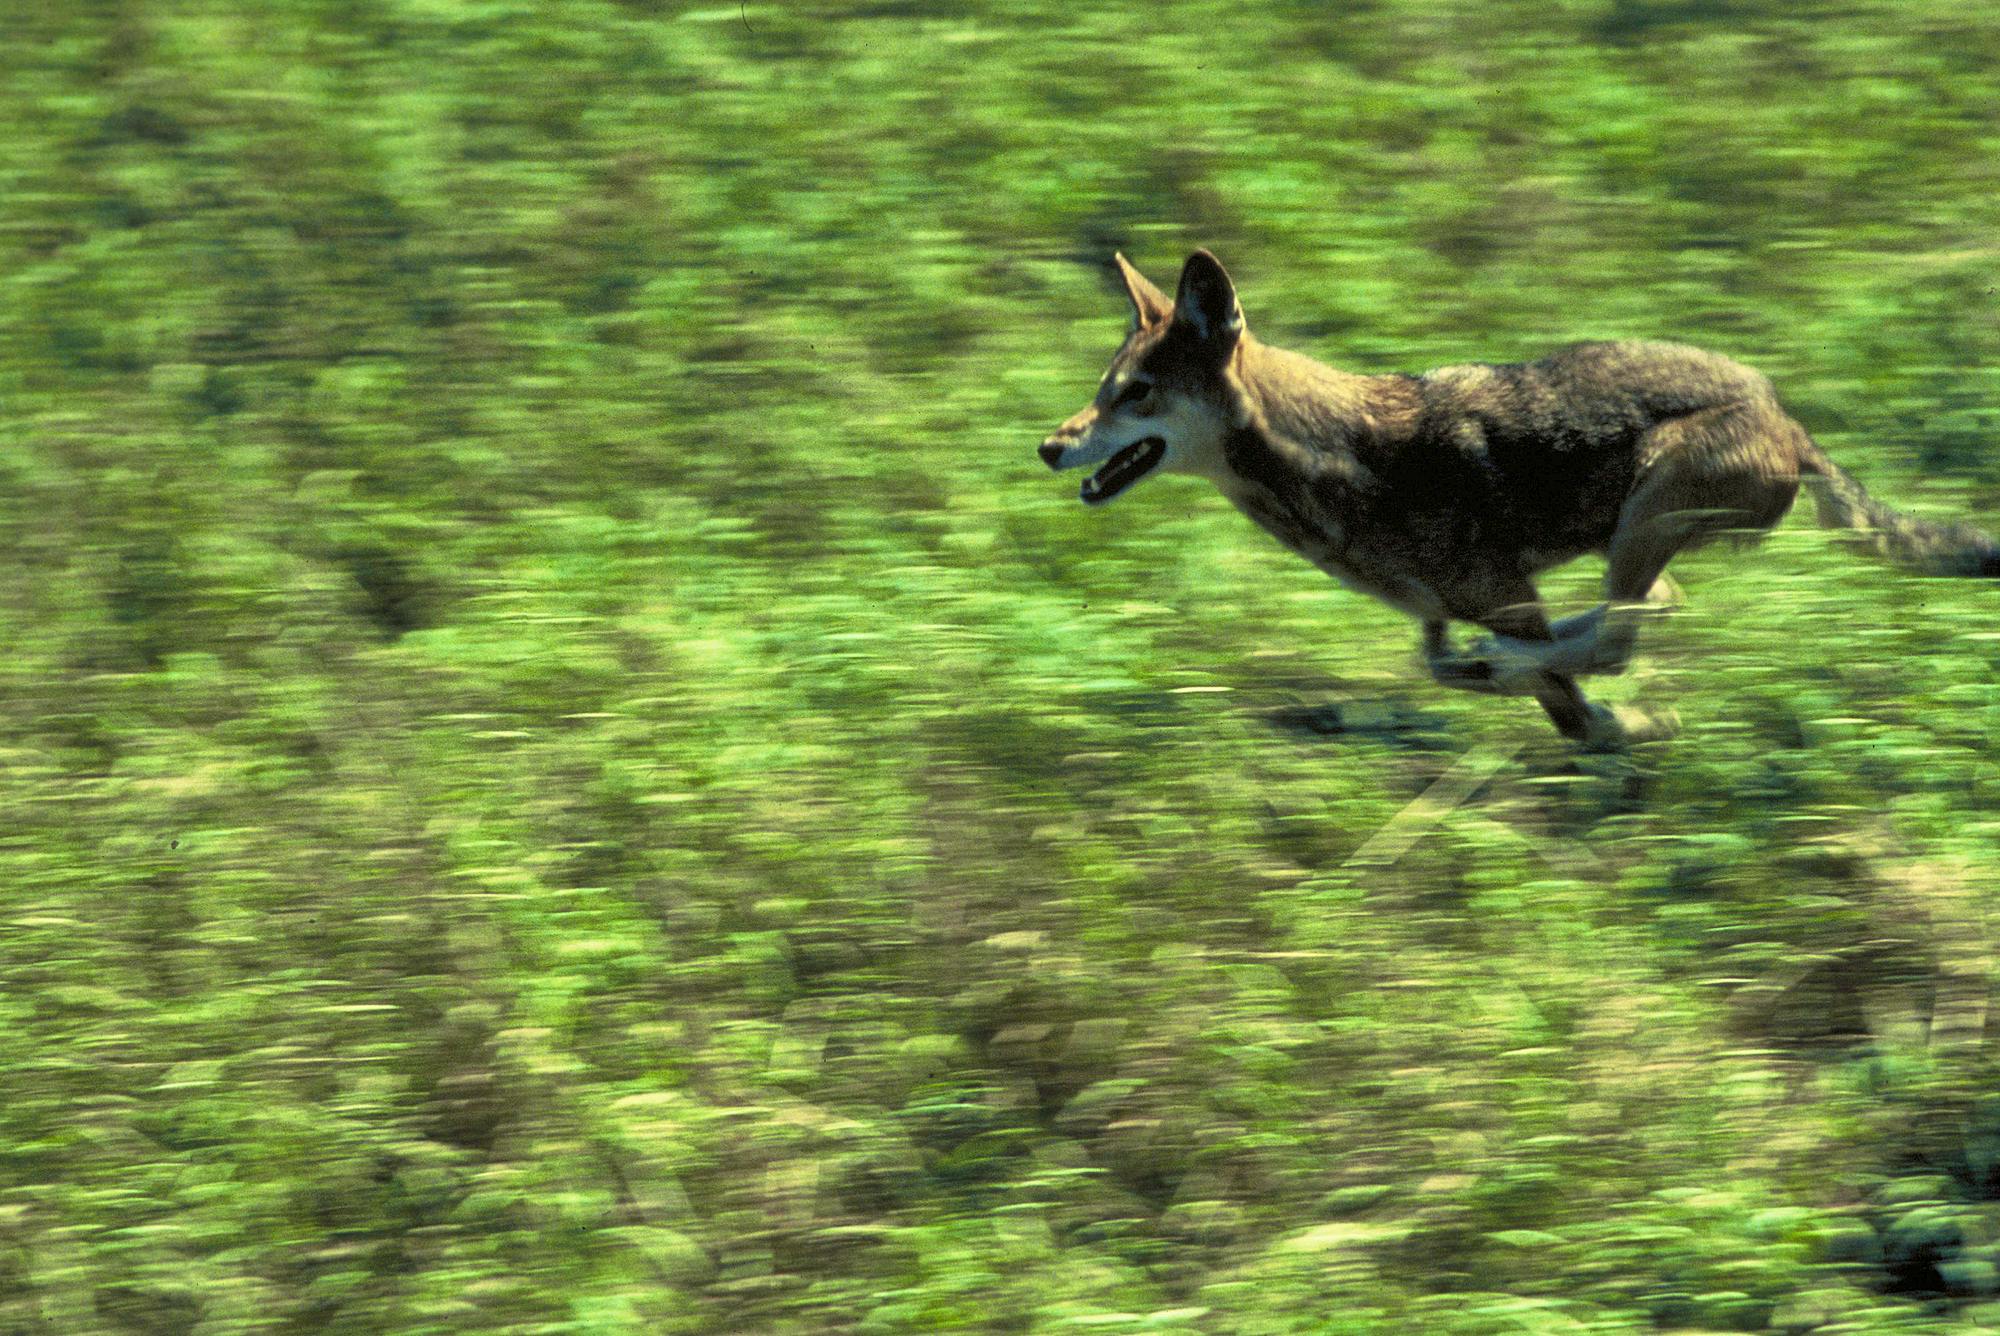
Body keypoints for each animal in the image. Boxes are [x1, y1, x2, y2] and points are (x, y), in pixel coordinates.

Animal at [1048, 252, 2000, 752]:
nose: (1049, 446)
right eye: (1103, 389)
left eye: (1135, 395)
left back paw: (1525, 663)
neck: (1335, 458)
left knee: (1618, 632)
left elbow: (1568, 698)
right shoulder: (1453, 607)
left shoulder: (1503, 595)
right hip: (1633, 535)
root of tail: (1789, 419)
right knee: (1646, 610)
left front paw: (1606, 717)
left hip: (1649, 499)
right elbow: (1451, 663)